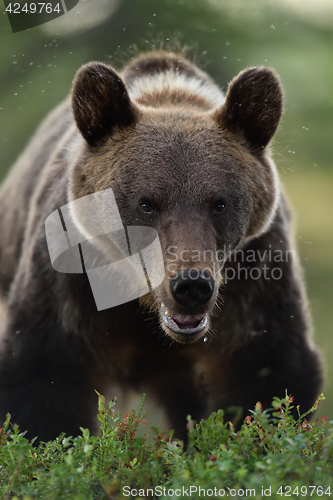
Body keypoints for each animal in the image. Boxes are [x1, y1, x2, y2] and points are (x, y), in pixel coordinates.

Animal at [0, 49, 322, 442]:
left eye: (219, 203)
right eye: (146, 203)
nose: (191, 285)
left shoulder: (254, 276)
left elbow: (267, 374)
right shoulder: (72, 277)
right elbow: (43, 377)